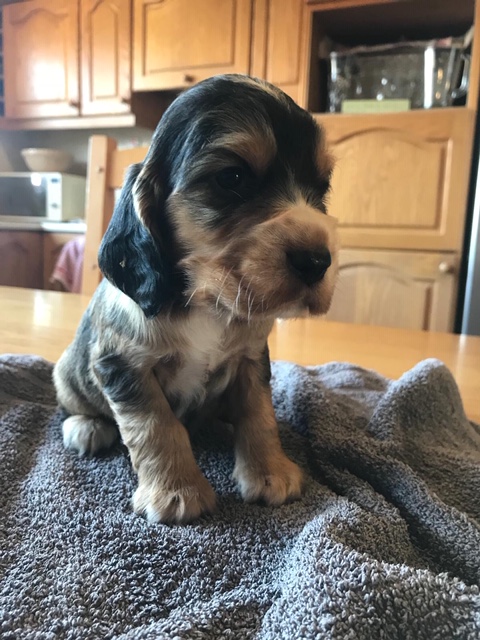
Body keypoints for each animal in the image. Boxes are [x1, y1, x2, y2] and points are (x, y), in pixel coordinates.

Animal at [54, 74, 338, 524]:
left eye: (323, 186)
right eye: (232, 178)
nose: (317, 261)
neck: (206, 301)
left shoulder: (251, 358)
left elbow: (260, 414)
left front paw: (271, 472)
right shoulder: (123, 365)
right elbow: (156, 426)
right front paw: (177, 491)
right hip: (69, 374)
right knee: (72, 406)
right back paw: (86, 427)